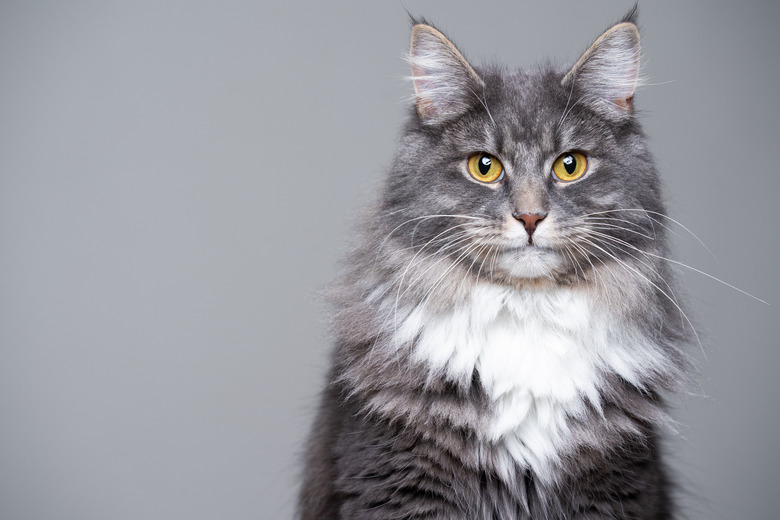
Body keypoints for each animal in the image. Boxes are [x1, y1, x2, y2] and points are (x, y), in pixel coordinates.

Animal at [300, 8, 696, 520]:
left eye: (570, 165)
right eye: (484, 167)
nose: (529, 217)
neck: (526, 315)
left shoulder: (617, 491)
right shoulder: (399, 487)